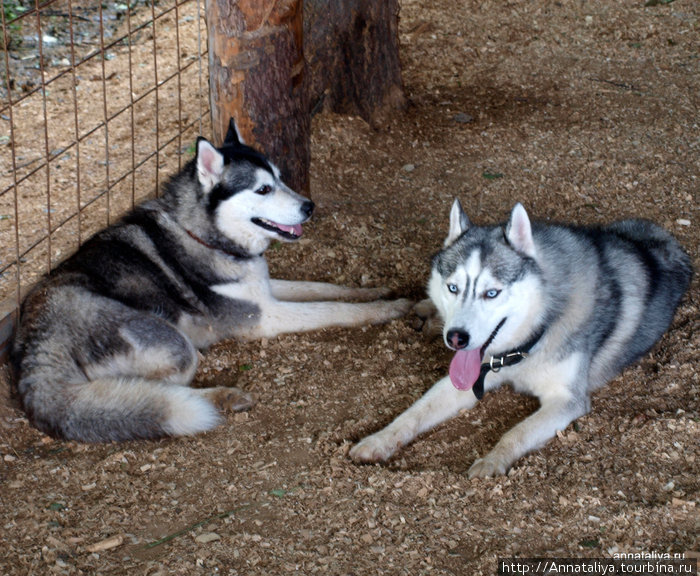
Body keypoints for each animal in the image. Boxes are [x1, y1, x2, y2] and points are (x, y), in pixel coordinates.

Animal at [13, 118, 412, 440]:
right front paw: (388, 309)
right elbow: (335, 309)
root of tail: (33, 343)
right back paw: (221, 395)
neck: (202, 234)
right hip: (172, 346)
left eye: (280, 178)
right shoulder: (261, 317)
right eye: (262, 189)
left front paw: (375, 290)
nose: (309, 206)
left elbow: (326, 289)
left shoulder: (264, 290)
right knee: (147, 389)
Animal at [352, 200, 692, 480]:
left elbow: (516, 432)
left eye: (492, 293)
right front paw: (378, 439)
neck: (528, 342)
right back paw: (426, 312)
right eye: (453, 288)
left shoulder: (566, 399)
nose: (456, 338)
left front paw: (492, 461)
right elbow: (414, 412)